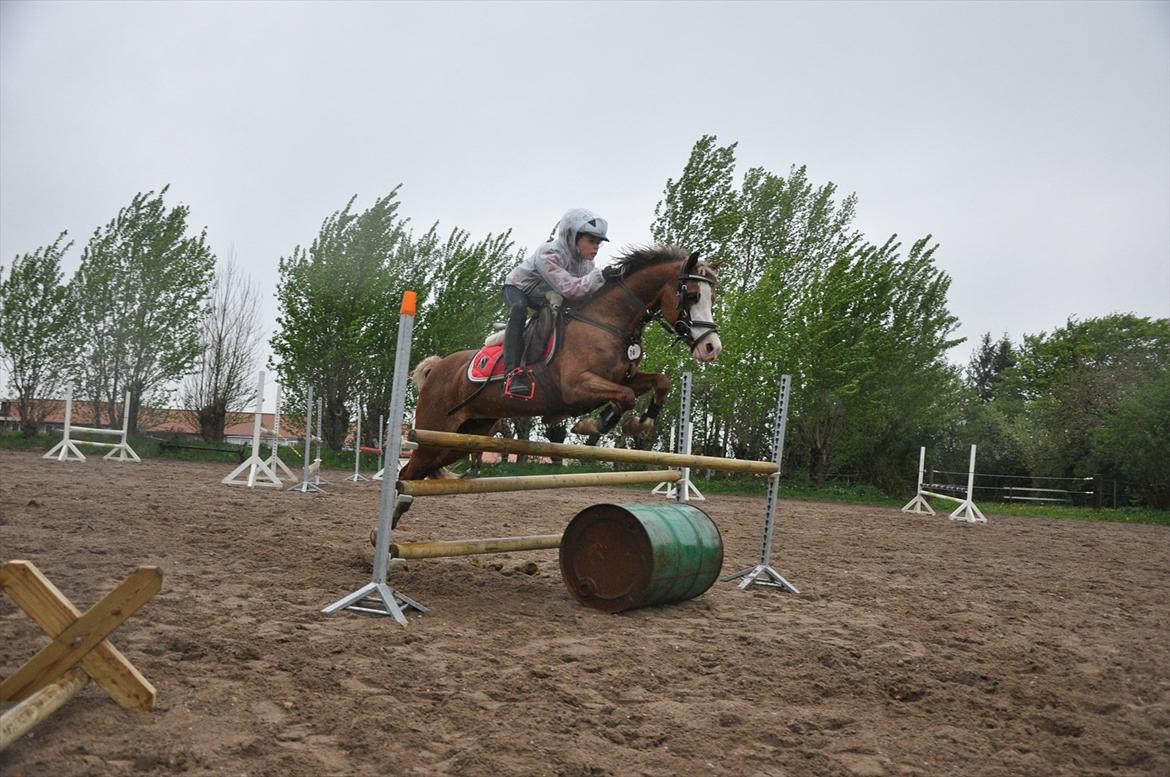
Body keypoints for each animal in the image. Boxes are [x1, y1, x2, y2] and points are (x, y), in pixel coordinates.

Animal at [397, 245, 721, 526]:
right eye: (693, 296)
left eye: (713, 298)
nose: (711, 348)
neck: (606, 322)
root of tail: (437, 368)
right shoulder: (576, 388)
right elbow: (626, 397)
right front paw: (593, 424)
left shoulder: (624, 377)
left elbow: (660, 381)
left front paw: (641, 424)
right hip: (434, 433)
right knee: (407, 472)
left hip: (463, 437)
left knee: (418, 471)